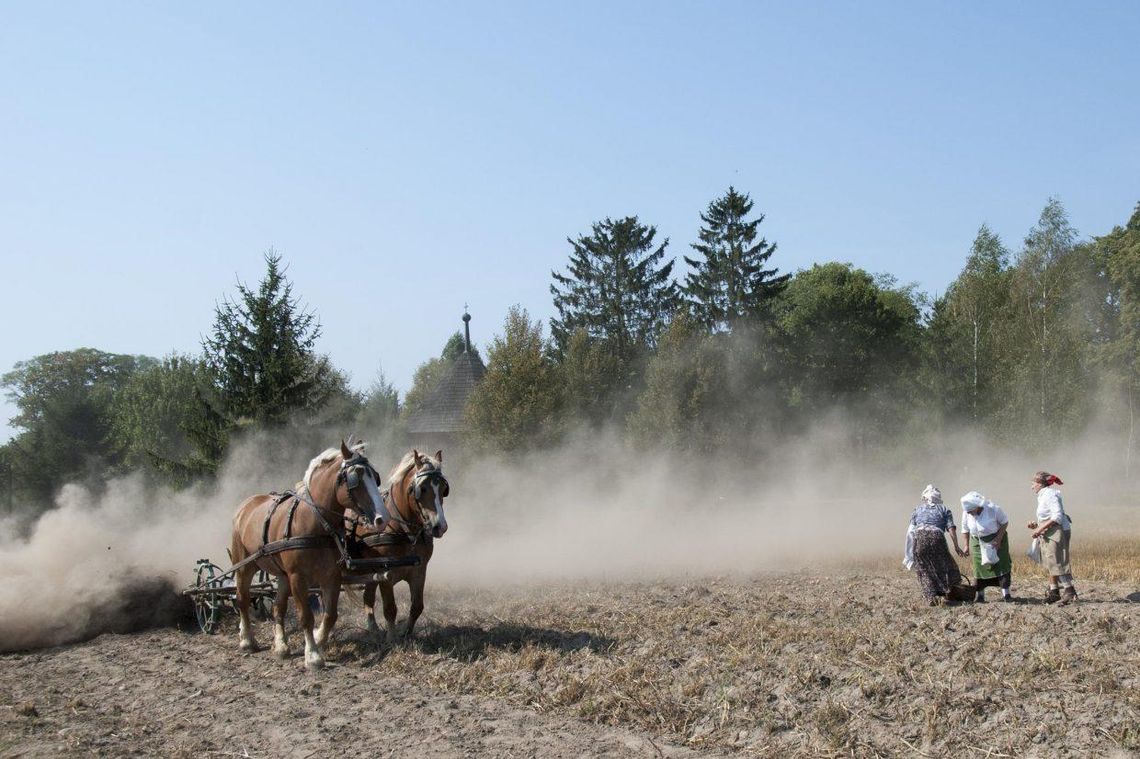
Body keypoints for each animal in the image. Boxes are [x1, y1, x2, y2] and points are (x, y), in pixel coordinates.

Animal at [229, 437, 389, 670]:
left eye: (375, 477)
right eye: (355, 479)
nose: (382, 518)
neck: (314, 523)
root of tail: (245, 505)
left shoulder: (331, 576)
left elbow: (330, 615)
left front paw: (318, 639)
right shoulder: (298, 577)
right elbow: (306, 616)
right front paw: (313, 655)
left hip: (282, 575)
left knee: (278, 607)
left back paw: (281, 646)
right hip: (245, 565)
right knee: (242, 599)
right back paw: (247, 640)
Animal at [353, 449, 446, 642]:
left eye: (443, 488)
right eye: (421, 488)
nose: (440, 526)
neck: (404, 532)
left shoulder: (419, 572)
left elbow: (417, 606)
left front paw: (406, 633)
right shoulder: (385, 575)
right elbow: (390, 609)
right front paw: (391, 639)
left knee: (368, 597)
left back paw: (373, 629)